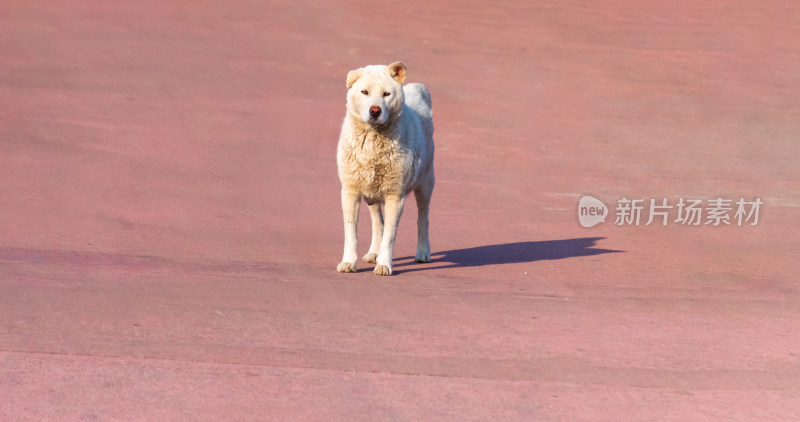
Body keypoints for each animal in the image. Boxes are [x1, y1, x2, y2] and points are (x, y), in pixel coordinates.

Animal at [338, 61, 438, 276]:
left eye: (386, 94)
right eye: (364, 92)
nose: (375, 110)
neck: (373, 140)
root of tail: (416, 88)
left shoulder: (395, 195)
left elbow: (390, 236)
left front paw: (384, 265)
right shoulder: (350, 191)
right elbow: (351, 233)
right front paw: (348, 262)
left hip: (425, 184)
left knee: (423, 218)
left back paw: (423, 253)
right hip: (372, 192)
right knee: (378, 222)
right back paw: (373, 252)